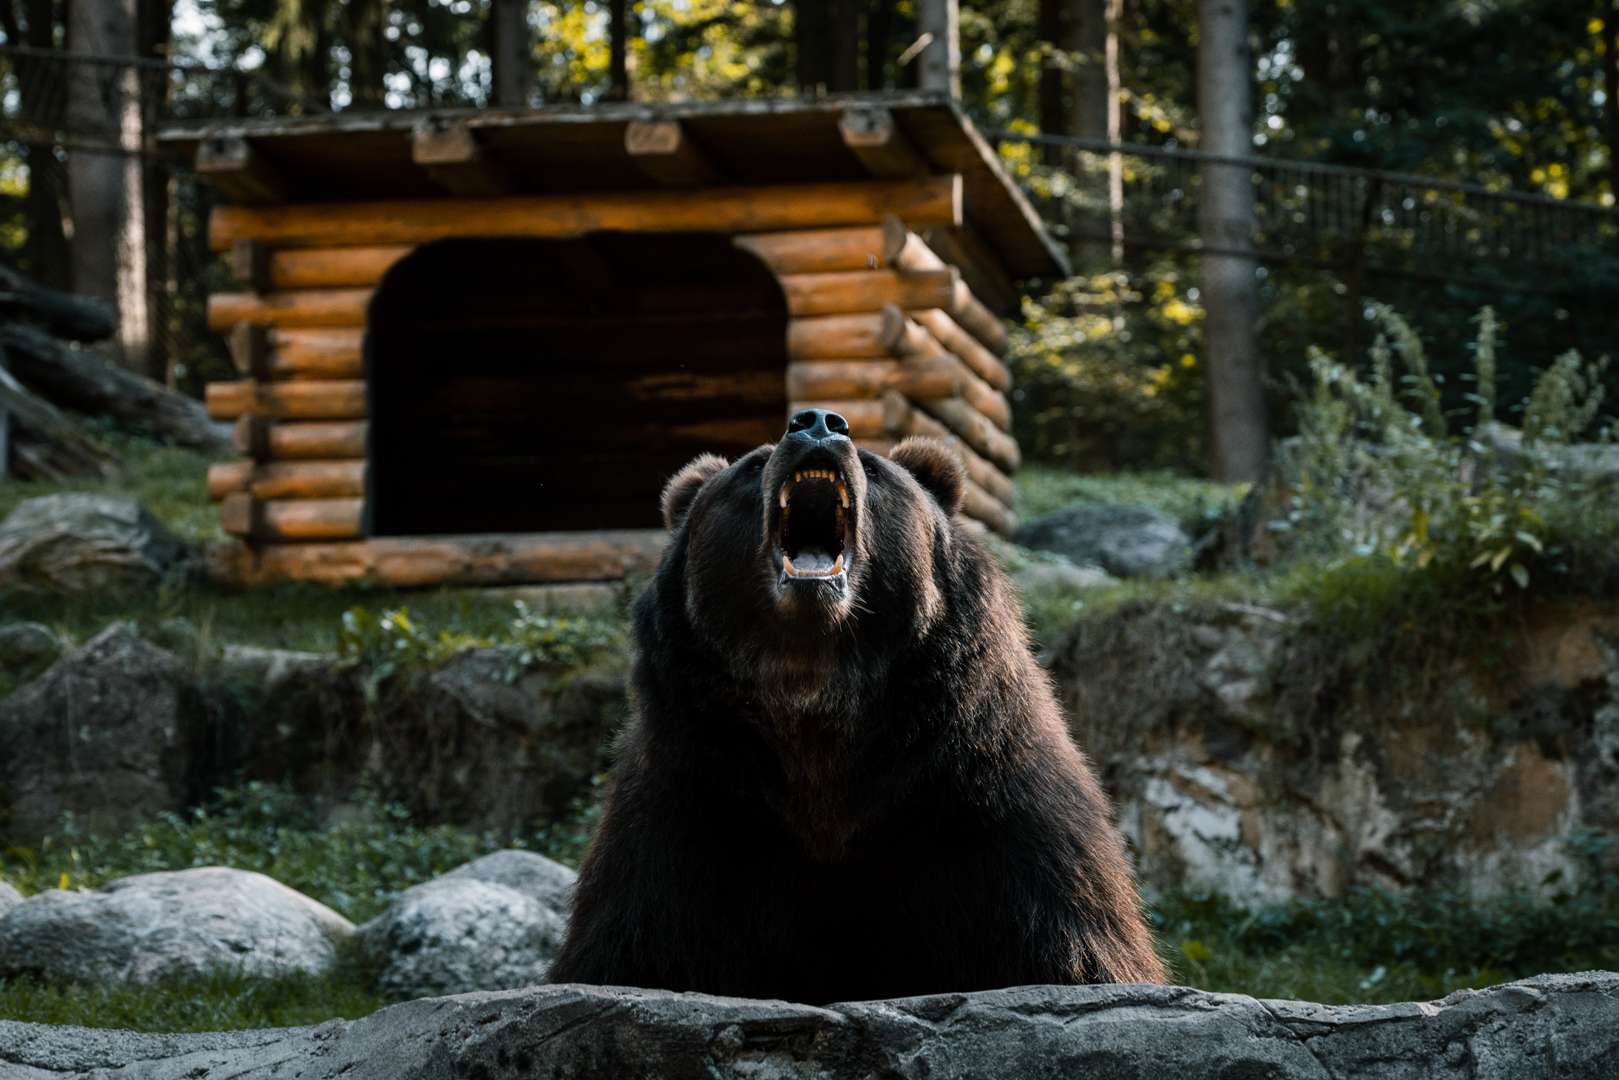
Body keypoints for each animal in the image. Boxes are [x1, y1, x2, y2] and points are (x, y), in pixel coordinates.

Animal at [547, 409, 1165, 1004]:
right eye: (752, 465)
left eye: (873, 463)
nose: (817, 422)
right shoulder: (688, 816)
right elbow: (631, 947)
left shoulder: (994, 816)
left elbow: (1075, 949)